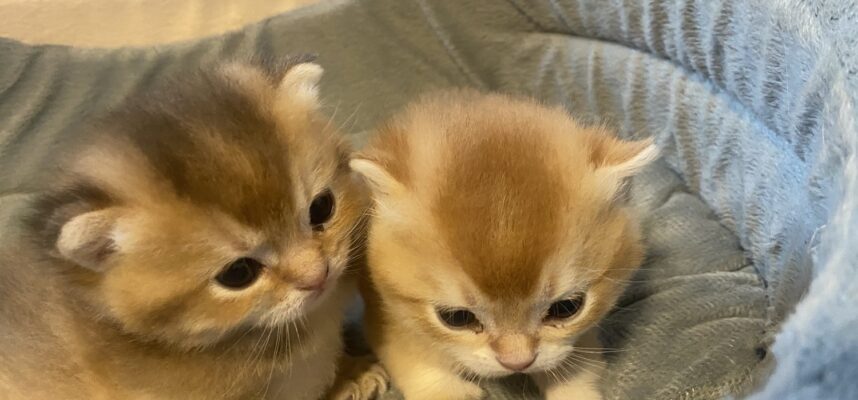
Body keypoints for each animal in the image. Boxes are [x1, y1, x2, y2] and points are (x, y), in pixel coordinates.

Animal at [348, 90, 656, 400]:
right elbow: (414, 358)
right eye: (456, 318)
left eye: (567, 308)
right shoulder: (387, 313)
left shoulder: (576, 338)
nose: (517, 362)